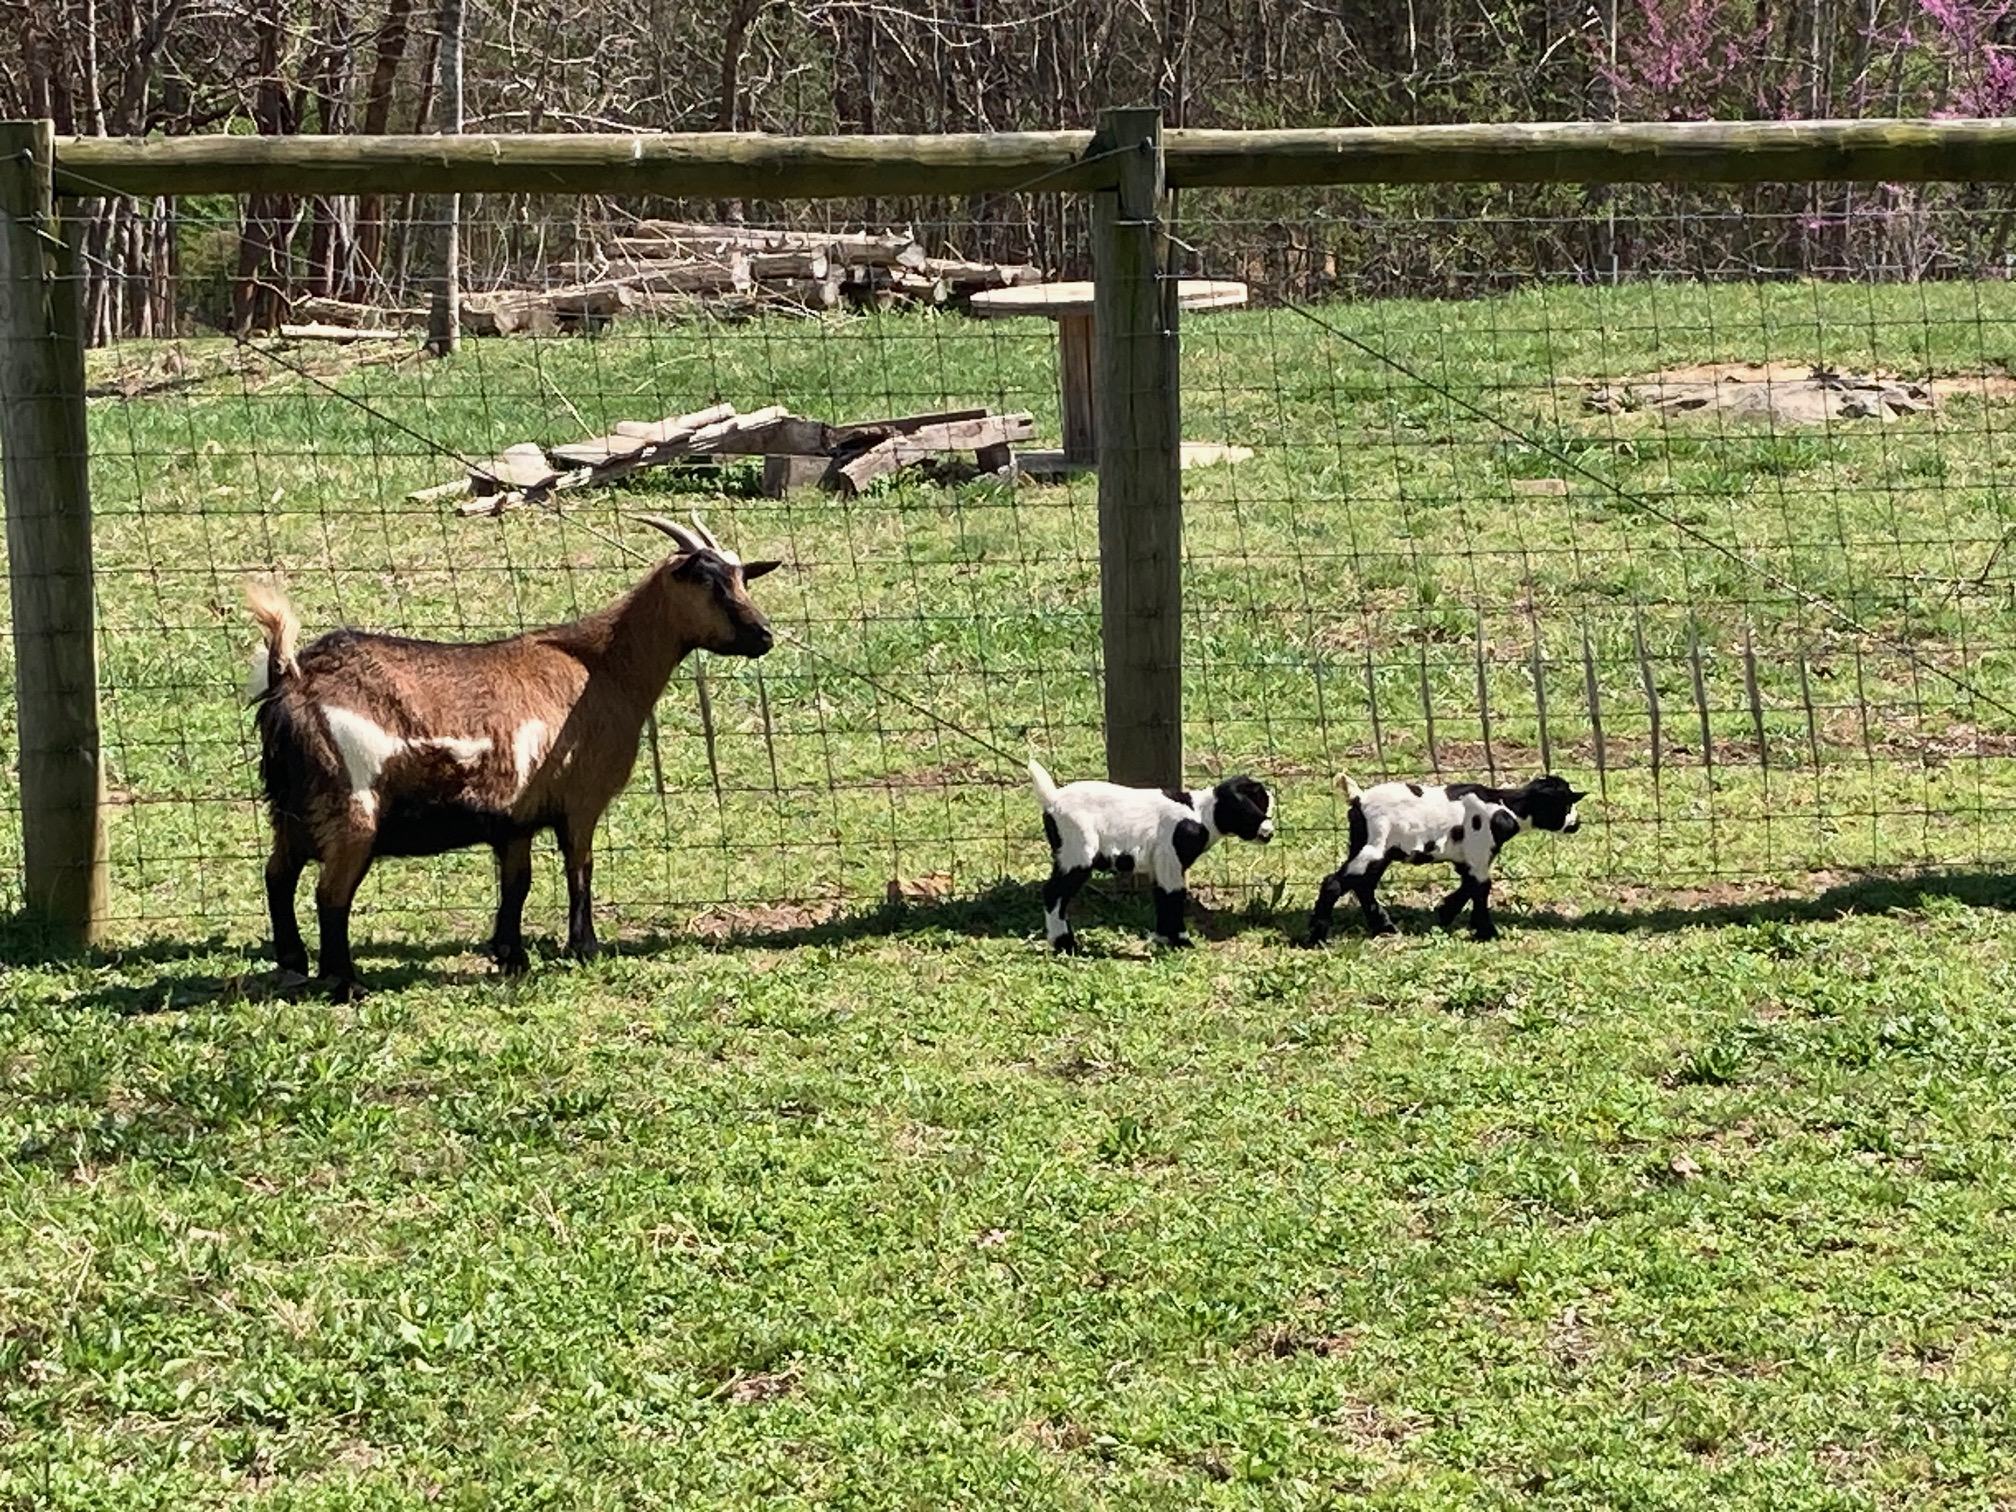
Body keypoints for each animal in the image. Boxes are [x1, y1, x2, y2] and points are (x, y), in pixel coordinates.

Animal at [245, 513, 780, 998]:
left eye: (741, 578)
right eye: (708, 582)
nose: (765, 635)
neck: (603, 667)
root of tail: (292, 677)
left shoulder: (516, 817)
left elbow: (517, 882)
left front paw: (511, 955)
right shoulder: (581, 801)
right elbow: (579, 868)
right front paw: (585, 947)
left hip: (293, 810)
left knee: (278, 876)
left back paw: (293, 963)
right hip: (352, 809)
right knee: (330, 894)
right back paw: (347, 983)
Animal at [1028, 758, 1275, 953]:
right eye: (1251, 811)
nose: (1269, 833)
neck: (1201, 814)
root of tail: (1052, 799)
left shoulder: (1160, 865)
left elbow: (1161, 896)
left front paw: (1164, 939)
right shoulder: (1169, 858)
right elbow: (1173, 895)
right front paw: (1181, 942)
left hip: (1064, 852)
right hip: (1078, 849)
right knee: (1054, 892)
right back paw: (1065, 944)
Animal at [1306, 773, 1586, 944]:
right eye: (1565, 804)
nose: (1577, 824)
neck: (1505, 807)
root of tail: (1358, 797)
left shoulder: (1467, 859)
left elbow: (1468, 886)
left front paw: (1445, 912)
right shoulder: (1479, 851)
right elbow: (1481, 887)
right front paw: (1487, 932)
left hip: (1375, 849)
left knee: (1363, 885)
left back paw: (1384, 927)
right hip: (1373, 845)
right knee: (1335, 882)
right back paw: (1317, 937)